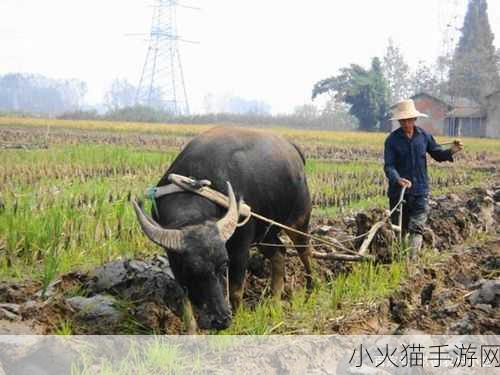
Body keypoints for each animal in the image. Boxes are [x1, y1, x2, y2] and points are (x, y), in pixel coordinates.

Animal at [133, 128, 312, 330]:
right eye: (190, 270)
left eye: (224, 264)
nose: (220, 320)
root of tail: (293, 149)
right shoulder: (174, 260)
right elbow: (184, 296)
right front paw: (191, 328)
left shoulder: (241, 247)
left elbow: (235, 289)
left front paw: (238, 318)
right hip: (266, 233)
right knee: (279, 252)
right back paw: (274, 301)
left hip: (299, 221)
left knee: (305, 251)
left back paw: (310, 289)